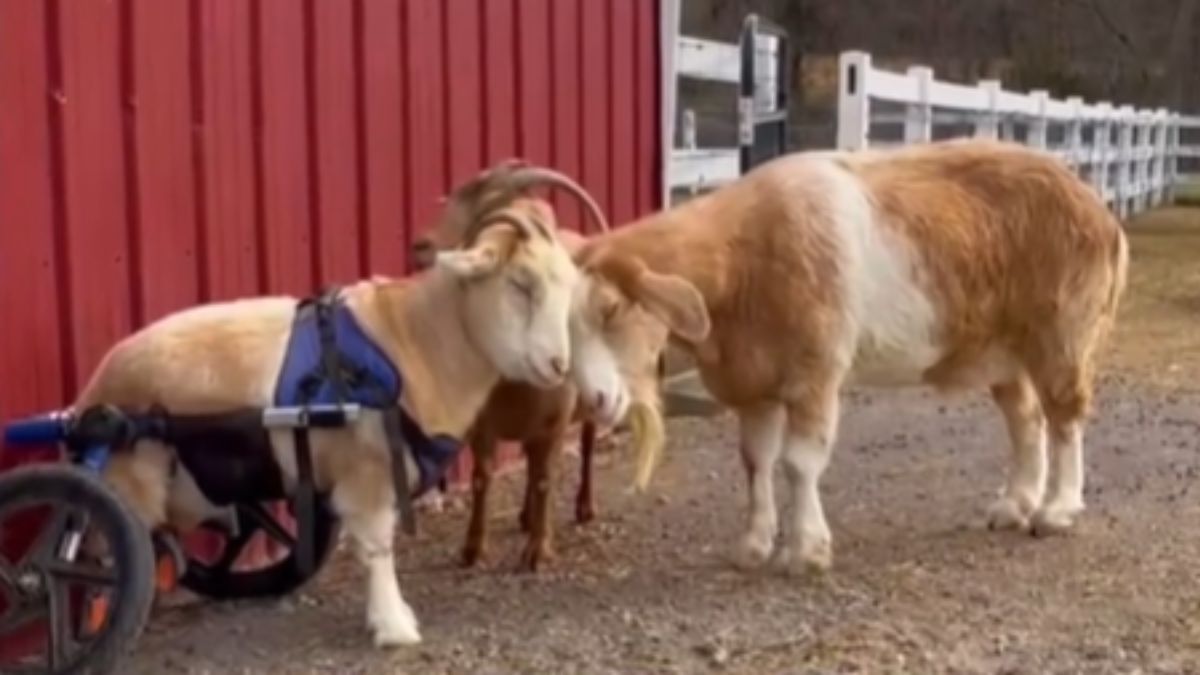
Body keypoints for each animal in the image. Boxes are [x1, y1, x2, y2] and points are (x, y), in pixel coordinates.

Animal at [73, 206, 580, 648]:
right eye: (520, 283)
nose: (559, 365)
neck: (412, 339)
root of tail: (94, 391)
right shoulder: (367, 470)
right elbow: (377, 548)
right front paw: (394, 627)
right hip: (128, 480)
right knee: (104, 553)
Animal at [475, 139, 1123, 576]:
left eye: (612, 308)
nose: (596, 400)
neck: (741, 266)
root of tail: (1100, 210)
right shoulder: (754, 383)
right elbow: (757, 463)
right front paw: (755, 545)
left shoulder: (815, 372)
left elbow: (798, 462)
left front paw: (805, 551)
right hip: (1003, 351)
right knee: (1026, 421)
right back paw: (1013, 505)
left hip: (1062, 331)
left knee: (1066, 417)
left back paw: (1056, 511)